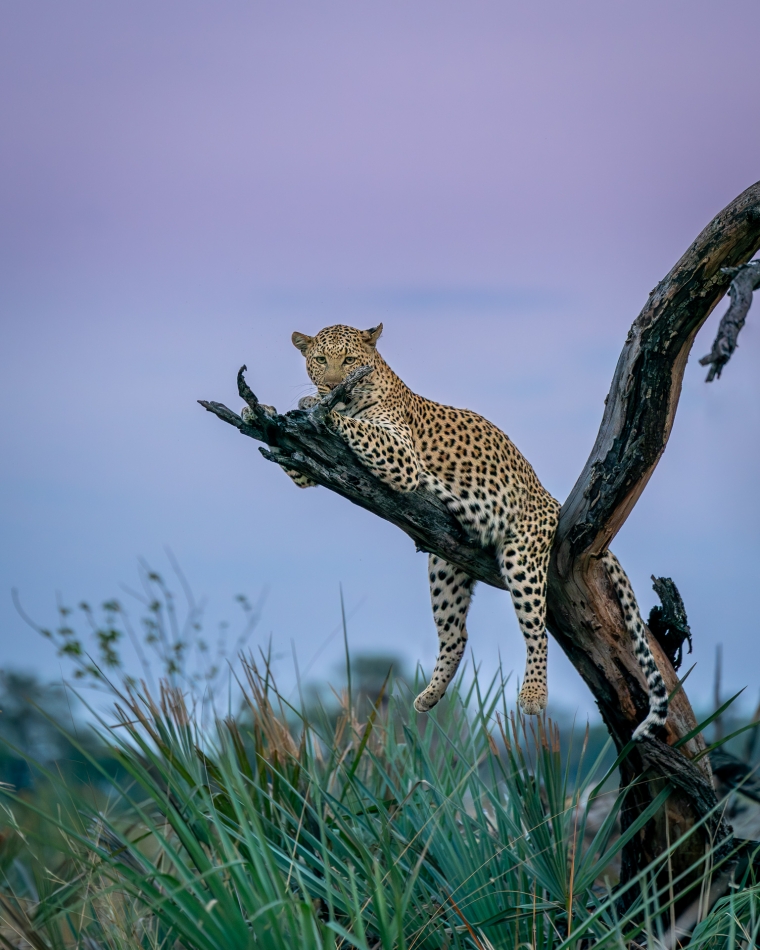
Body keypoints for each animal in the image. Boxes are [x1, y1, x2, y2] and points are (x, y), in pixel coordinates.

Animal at [246, 324, 668, 740]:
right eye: (320, 359)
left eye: (349, 361)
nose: (330, 385)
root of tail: (551, 500)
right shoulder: (308, 463)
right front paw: (262, 411)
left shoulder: (402, 457)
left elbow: (354, 426)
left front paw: (318, 412)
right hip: (444, 568)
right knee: (456, 634)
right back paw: (429, 696)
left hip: (522, 557)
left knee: (536, 628)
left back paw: (533, 695)